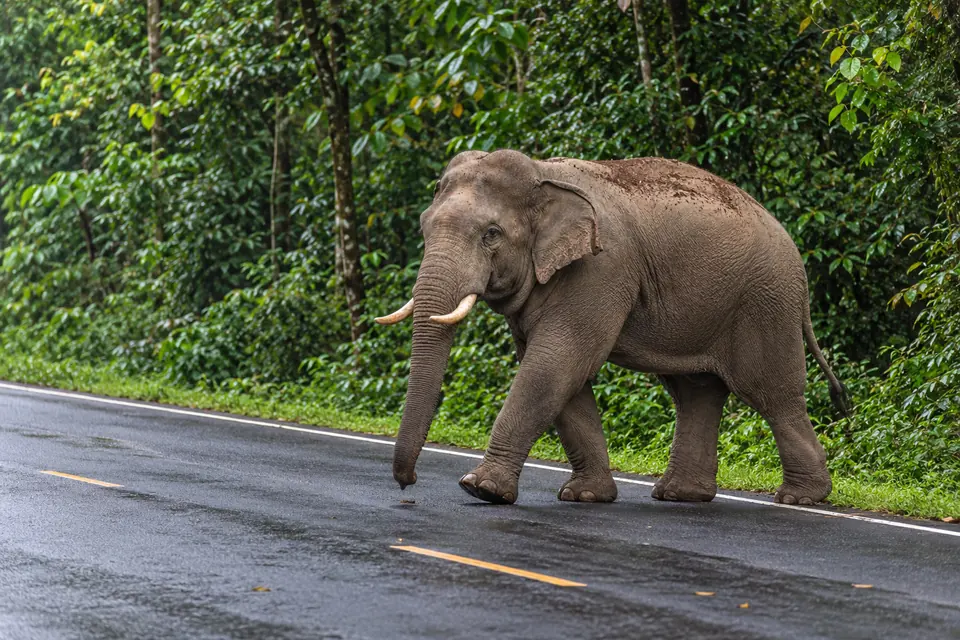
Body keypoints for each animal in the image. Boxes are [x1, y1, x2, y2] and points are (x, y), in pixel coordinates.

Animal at [375, 149, 849, 507]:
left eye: (491, 234)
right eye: (423, 227)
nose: (406, 484)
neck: (543, 175)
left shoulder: (601, 268)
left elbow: (555, 363)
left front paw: (481, 490)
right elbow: (557, 373)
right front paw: (585, 496)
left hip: (765, 302)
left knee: (772, 393)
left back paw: (799, 498)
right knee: (696, 391)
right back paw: (679, 495)